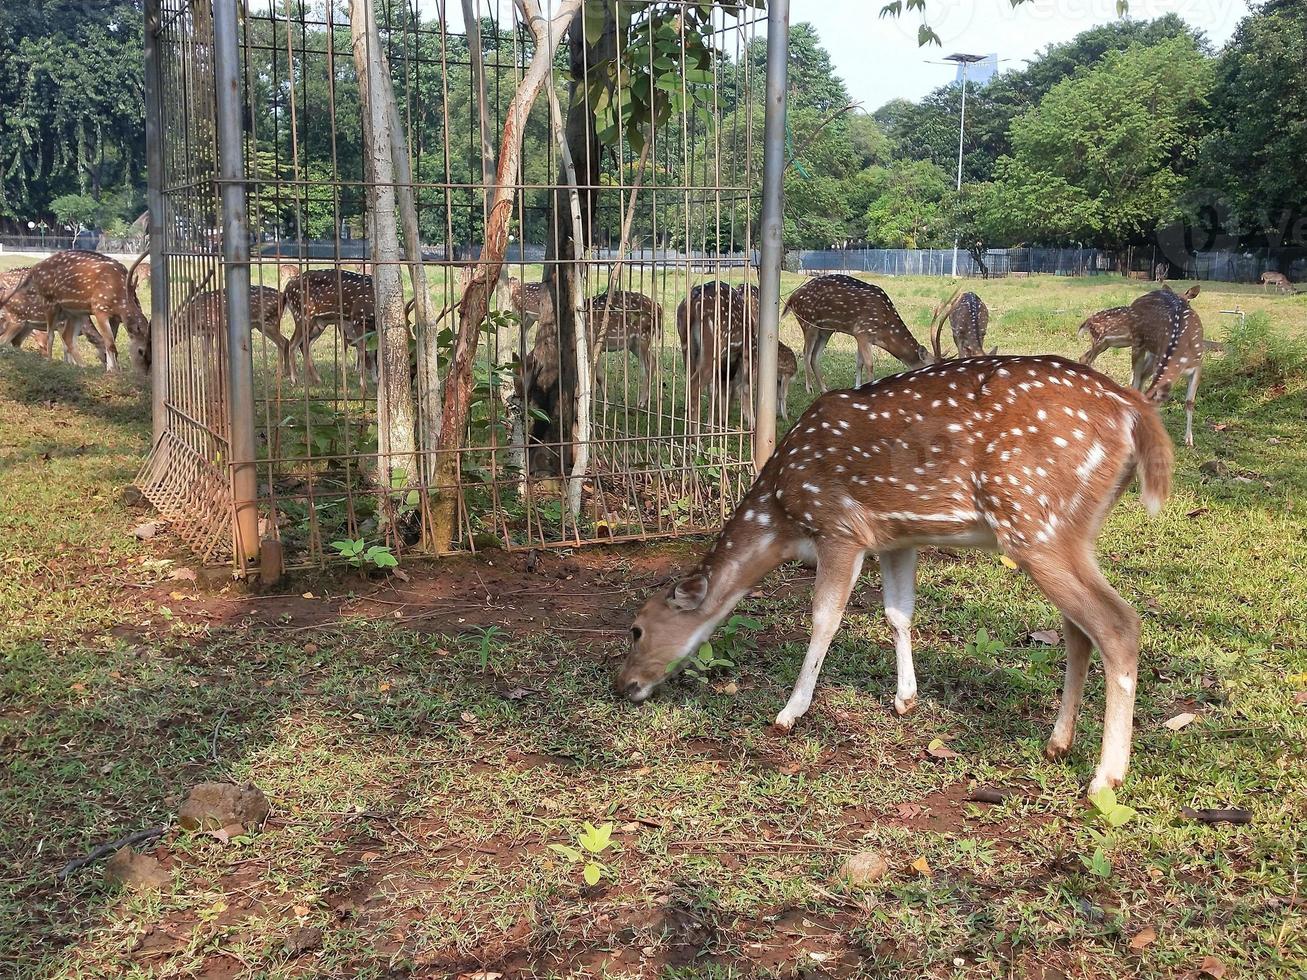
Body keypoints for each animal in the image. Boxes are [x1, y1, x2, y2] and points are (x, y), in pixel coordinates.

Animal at [0, 250, 149, 373]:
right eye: (140, 351)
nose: (142, 373)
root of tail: (35, 269)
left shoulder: (113, 318)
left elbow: (109, 342)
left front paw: (112, 370)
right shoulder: (99, 309)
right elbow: (110, 344)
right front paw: (112, 371)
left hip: (67, 314)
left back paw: (81, 365)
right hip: (44, 305)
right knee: (48, 336)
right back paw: (50, 362)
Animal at [616, 344, 1181, 799]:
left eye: (637, 628)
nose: (623, 685)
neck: (781, 513)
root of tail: (1136, 411)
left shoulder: (839, 527)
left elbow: (825, 617)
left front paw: (789, 714)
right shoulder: (895, 537)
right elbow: (898, 612)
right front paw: (905, 698)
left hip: (1033, 519)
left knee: (1117, 623)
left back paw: (1105, 777)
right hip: (1071, 529)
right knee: (1079, 628)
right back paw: (1057, 744)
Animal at [784, 274, 930, 394]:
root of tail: (791, 298)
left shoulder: (859, 336)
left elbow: (859, 363)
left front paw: (857, 387)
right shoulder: (863, 332)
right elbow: (869, 365)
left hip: (825, 330)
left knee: (815, 356)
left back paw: (824, 389)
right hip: (808, 322)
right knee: (806, 353)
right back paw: (809, 388)